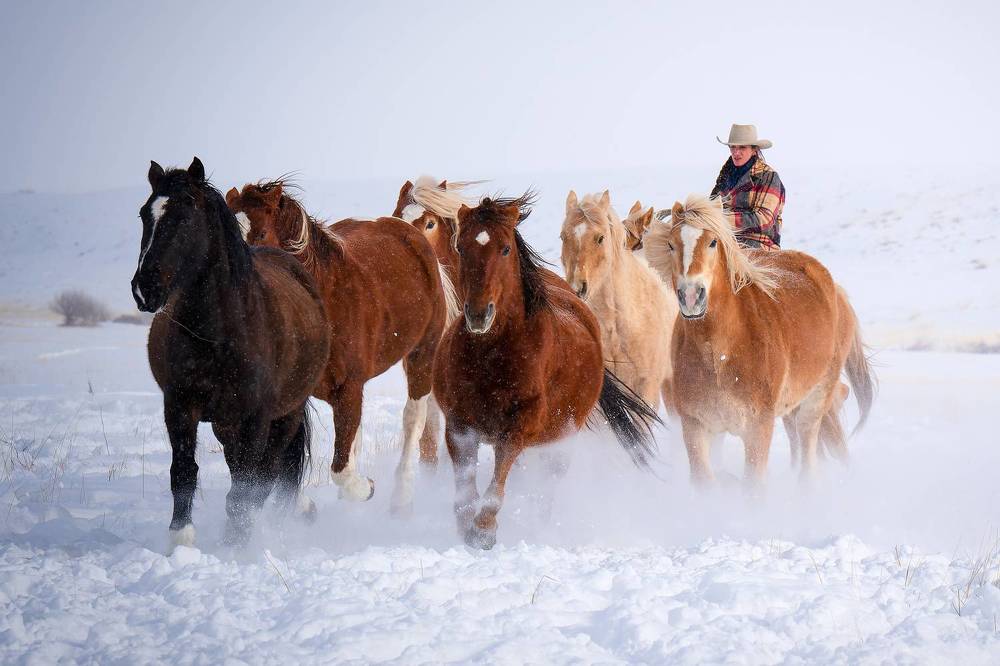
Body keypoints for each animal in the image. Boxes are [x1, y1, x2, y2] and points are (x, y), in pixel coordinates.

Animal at [131, 158, 330, 549]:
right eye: (145, 214)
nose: (144, 288)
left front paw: (238, 544)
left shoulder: (257, 418)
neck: (220, 334)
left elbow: (249, 486)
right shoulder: (179, 406)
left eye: (186, 216)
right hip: (226, 424)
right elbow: (184, 472)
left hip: (285, 415)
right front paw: (182, 538)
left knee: (268, 474)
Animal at [226, 180, 451, 515]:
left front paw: (366, 488)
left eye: (262, 233)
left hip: (421, 354)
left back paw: (401, 498)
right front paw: (304, 505)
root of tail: (409, 230)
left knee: (414, 417)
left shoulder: (348, 387)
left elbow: (340, 470)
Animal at [434, 193, 661, 549]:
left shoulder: (518, 430)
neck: (492, 356)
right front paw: (466, 528)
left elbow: (495, 487)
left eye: (505, 249)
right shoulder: (459, 426)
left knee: (546, 489)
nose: (479, 314)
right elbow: (464, 492)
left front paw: (484, 530)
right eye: (461, 247)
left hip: (560, 441)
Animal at [644, 194, 876, 490]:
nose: (692, 296)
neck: (720, 352)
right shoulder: (695, 426)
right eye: (671, 244)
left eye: (712, 242)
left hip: (816, 400)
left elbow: (753, 488)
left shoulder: (758, 429)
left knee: (809, 454)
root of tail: (836, 291)